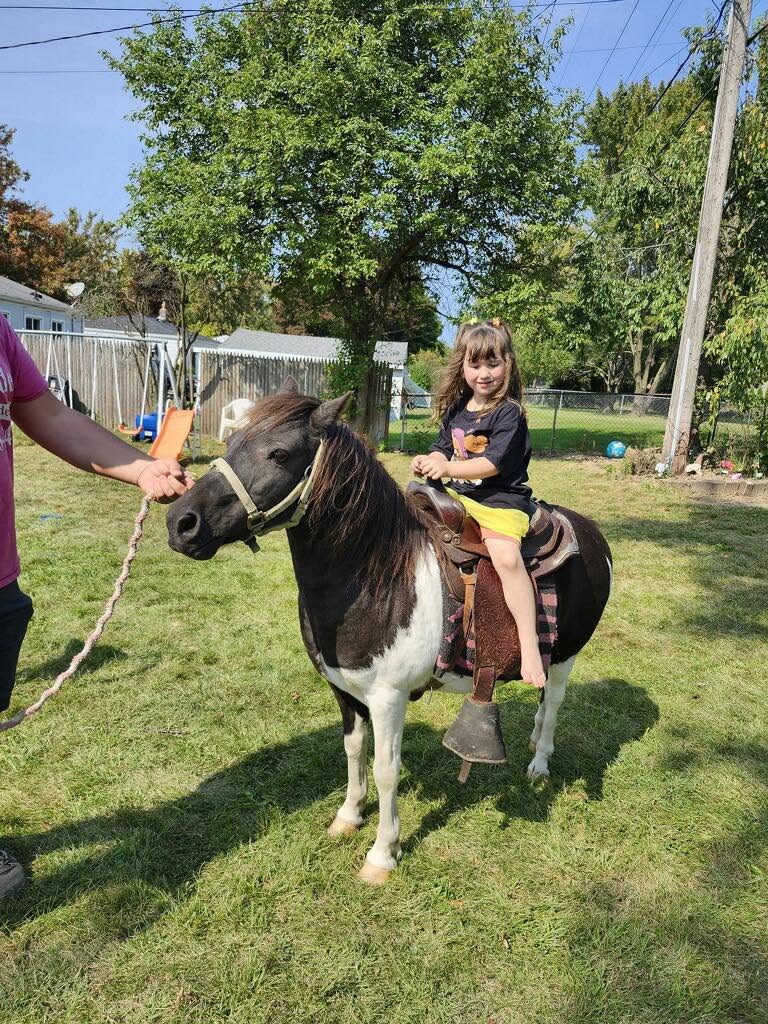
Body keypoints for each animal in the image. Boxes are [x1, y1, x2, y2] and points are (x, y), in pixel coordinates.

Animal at [166, 380, 613, 885]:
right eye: (230, 442)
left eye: (279, 454)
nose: (180, 522)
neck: (378, 577)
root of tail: (590, 532)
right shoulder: (344, 690)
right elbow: (353, 751)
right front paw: (348, 816)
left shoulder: (388, 698)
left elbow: (386, 770)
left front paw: (382, 853)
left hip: (566, 656)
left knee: (553, 702)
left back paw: (540, 762)